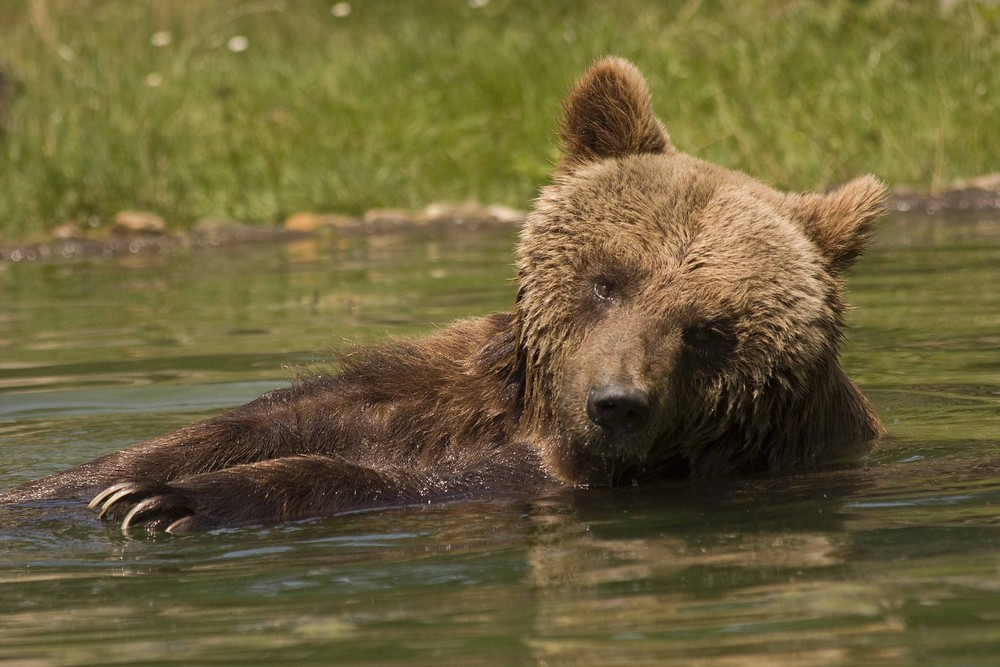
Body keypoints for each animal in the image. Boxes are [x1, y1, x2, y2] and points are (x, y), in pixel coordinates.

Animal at [0, 60, 884, 536]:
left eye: (707, 329)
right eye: (609, 280)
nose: (615, 402)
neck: (535, 412)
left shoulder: (657, 464)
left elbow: (409, 477)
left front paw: (165, 501)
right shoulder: (457, 381)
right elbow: (280, 418)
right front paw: (92, 484)